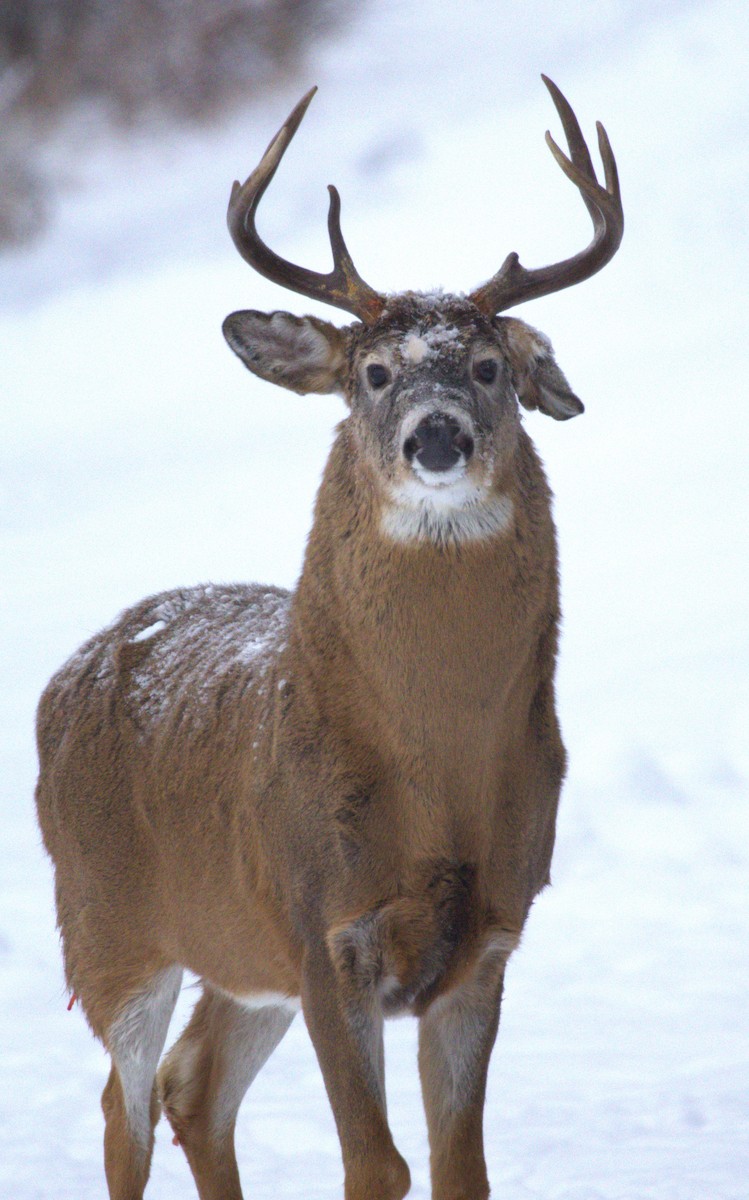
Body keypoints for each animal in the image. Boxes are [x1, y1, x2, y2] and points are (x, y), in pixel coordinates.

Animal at [35, 76, 622, 1200]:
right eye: (375, 372)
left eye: (491, 365)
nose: (436, 434)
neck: (434, 776)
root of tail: (68, 672)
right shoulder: (324, 924)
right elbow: (375, 1165)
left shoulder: (486, 941)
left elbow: (458, 1166)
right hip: (107, 928)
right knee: (124, 1115)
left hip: (235, 952)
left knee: (193, 1085)